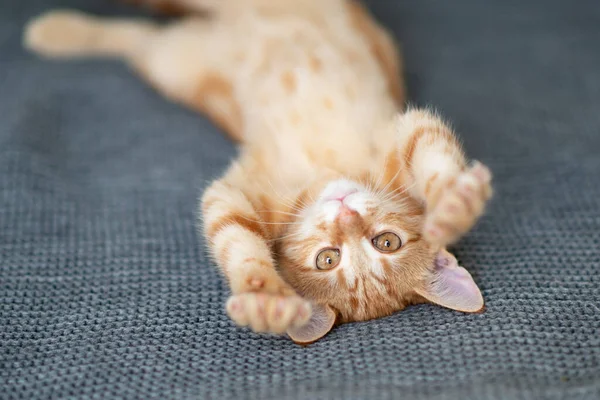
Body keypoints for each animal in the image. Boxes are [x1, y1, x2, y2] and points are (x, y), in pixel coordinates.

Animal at [23, 0, 492, 344]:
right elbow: (237, 240)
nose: (345, 213)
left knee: (138, 39)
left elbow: (231, 230)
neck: (328, 174)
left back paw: (58, 31)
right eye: (328, 258)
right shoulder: (396, 135)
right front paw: (456, 201)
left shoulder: (236, 188)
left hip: (177, 60)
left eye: (384, 243)